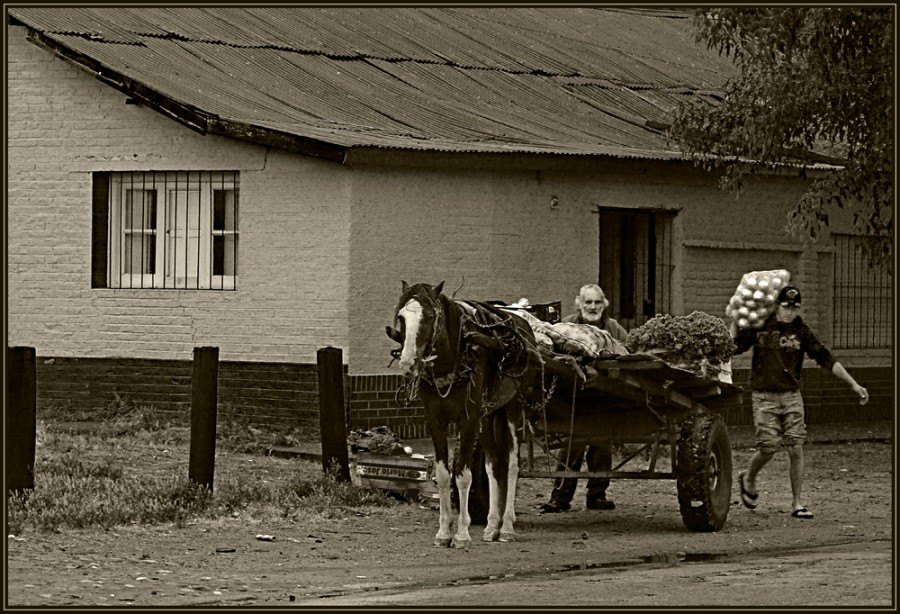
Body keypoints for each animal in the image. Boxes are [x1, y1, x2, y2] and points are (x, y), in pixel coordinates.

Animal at [384, 282, 536, 552]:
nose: (407, 362)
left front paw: (462, 534)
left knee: (512, 465)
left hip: (513, 409)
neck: (454, 358)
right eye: (401, 317)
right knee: (493, 465)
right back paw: (491, 526)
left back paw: (507, 527)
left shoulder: (468, 420)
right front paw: (444, 532)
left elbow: (463, 475)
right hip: (487, 417)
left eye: (429, 316)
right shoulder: (436, 421)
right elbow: (445, 475)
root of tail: (522, 324)